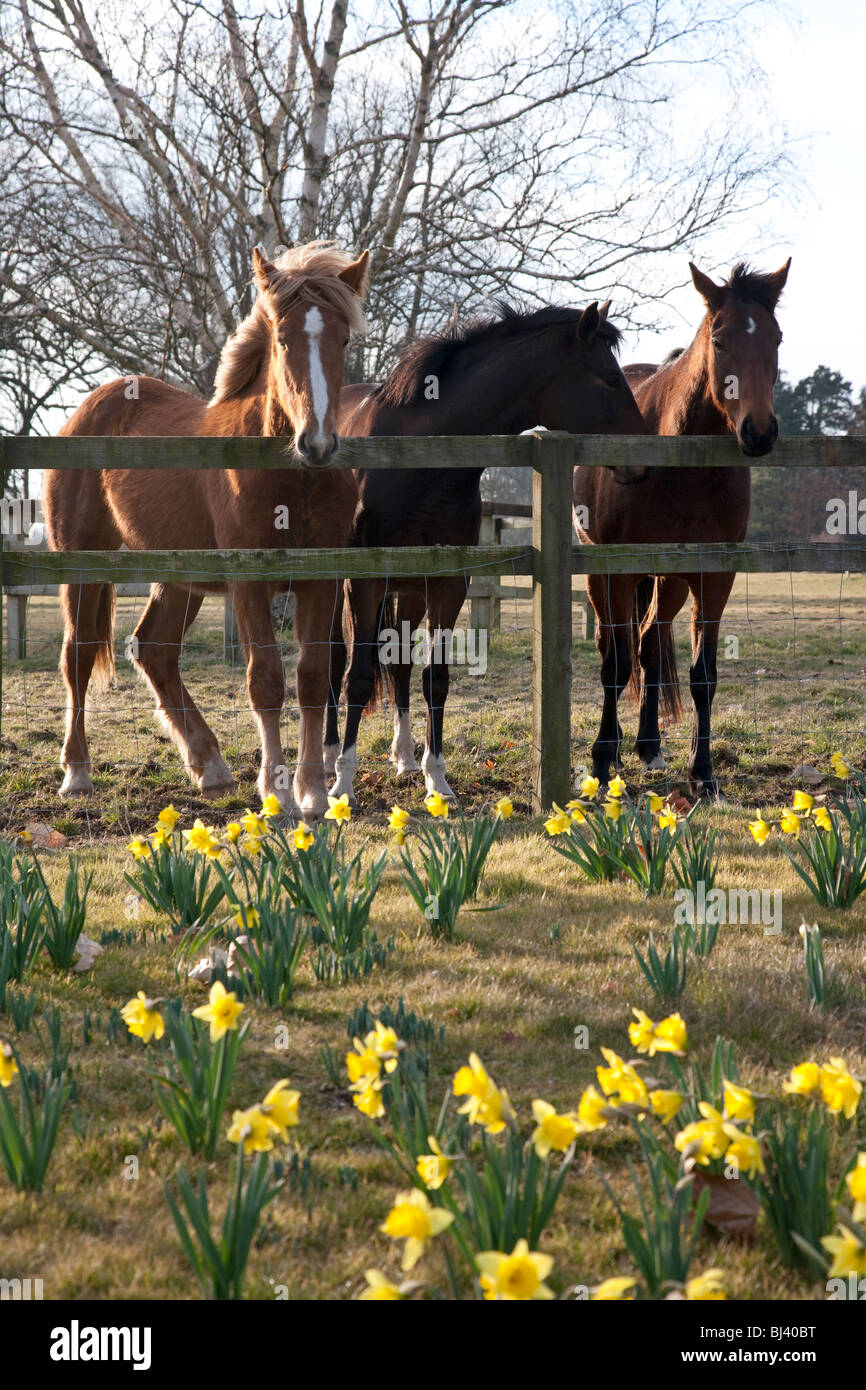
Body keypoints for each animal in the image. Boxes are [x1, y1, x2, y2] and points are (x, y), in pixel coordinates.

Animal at [44, 244, 369, 817]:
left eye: (344, 339)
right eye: (283, 339)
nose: (317, 444)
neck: (290, 480)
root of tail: (86, 410)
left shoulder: (321, 582)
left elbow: (311, 678)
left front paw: (311, 791)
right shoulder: (247, 586)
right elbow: (266, 681)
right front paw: (274, 790)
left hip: (178, 578)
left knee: (153, 650)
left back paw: (210, 765)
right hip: (83, 567)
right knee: (77, 656)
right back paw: (77, 773)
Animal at [328, 303, 647, 806]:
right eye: (611, 378)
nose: (641, 460)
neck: (420, 461)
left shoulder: (447, 582)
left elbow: (434, 679)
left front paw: (436, 779)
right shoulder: (364, 581)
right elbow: (357, 676)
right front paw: (343, 784)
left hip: (409, 592)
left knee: (398, 664)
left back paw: (403, 756)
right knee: (332, 665)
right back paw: (325, 761)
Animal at [575, 259, 795, 800]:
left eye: (777, 338)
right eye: (719, 339)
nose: (759, 431)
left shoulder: (714, 576)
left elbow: (703, 675)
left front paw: (704, 772)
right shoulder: (616, 570)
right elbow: (615, 666)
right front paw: (601, 761)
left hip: (669, 579)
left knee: (651, 643)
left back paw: (650, 746)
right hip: (599, 574)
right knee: (617, 649)